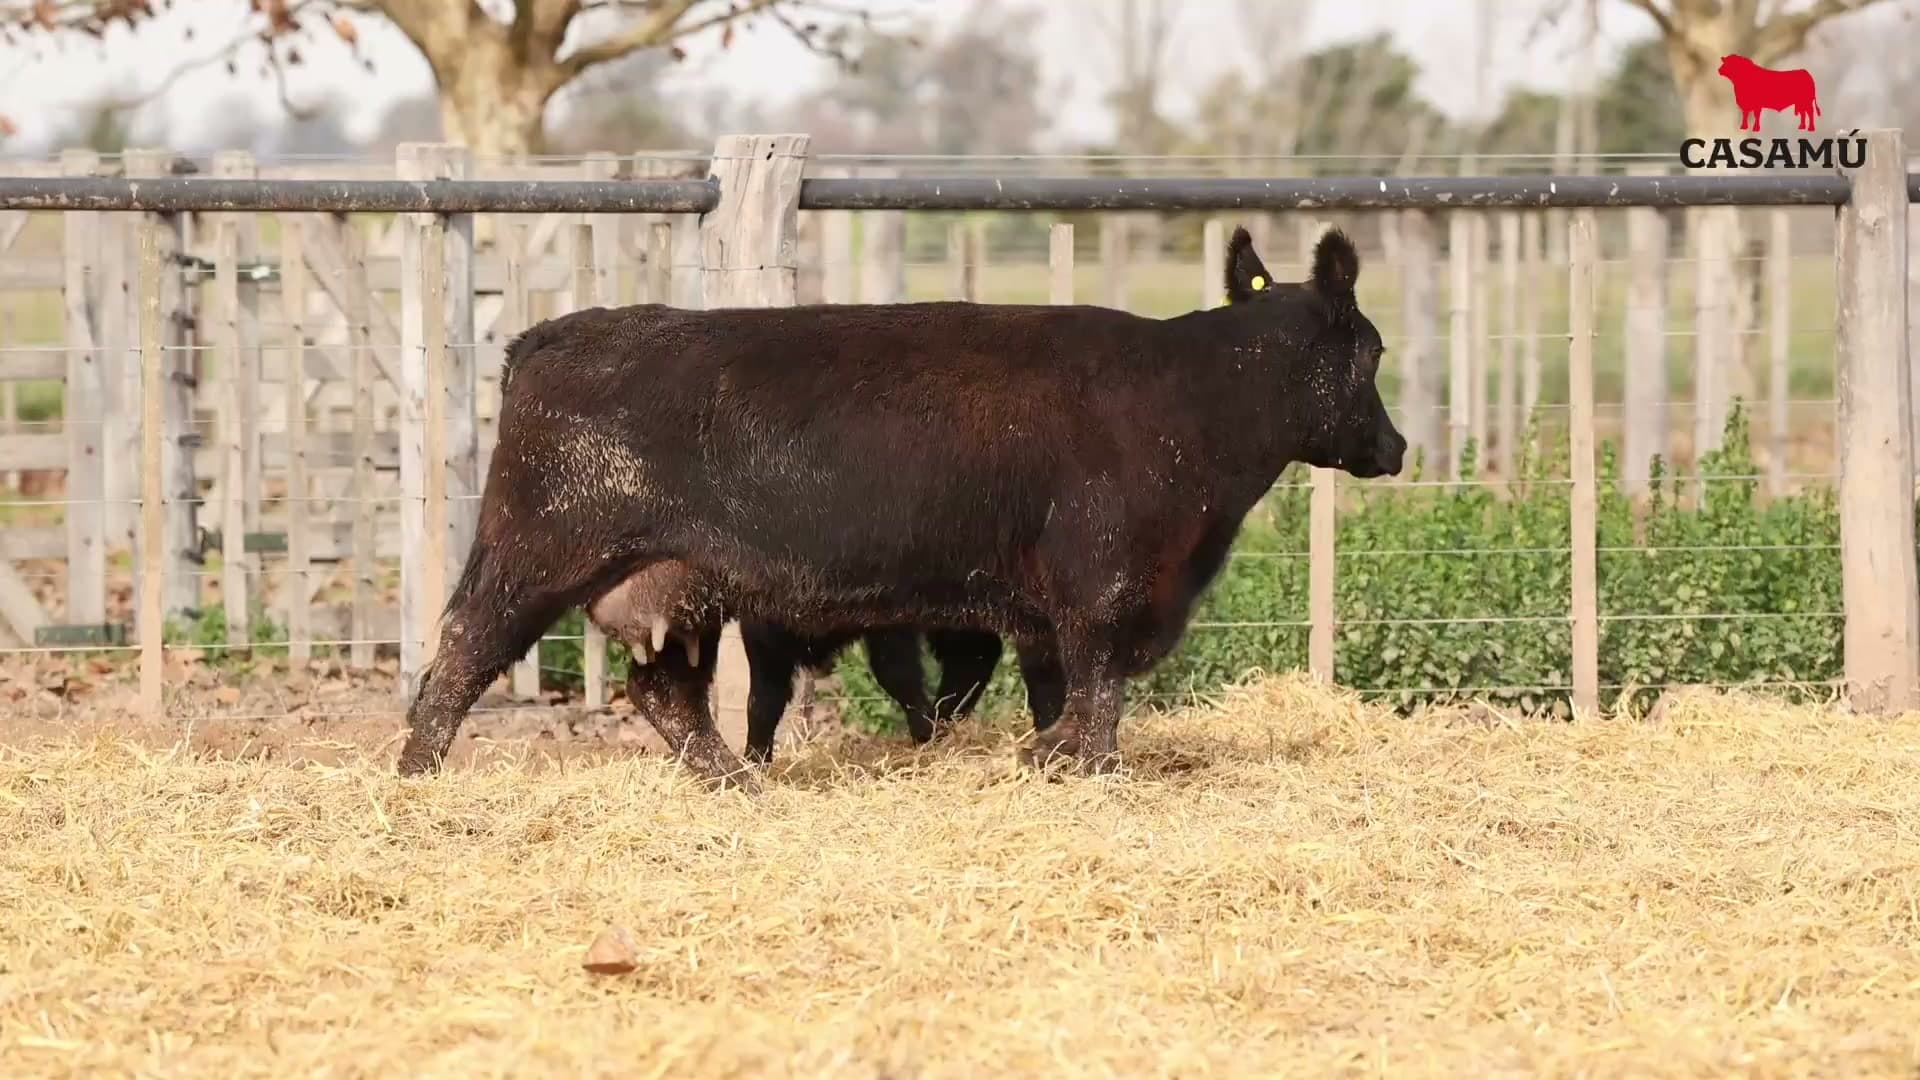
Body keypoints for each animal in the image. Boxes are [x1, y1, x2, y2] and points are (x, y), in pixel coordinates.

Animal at [395, 224, 1405, 790]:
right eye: (1375, 352)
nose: (1397, 447)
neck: (1191, 400)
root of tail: (545, 337)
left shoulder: (1046, 610)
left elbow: (1061, 693)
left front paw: (1043, 758)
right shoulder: (1103, 588)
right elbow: (1097, 693)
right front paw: (1089, 772)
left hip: (680, 585)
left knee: (666, 693)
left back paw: (740, 786)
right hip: (537, 551)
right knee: (459, 652)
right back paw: (414, 778)